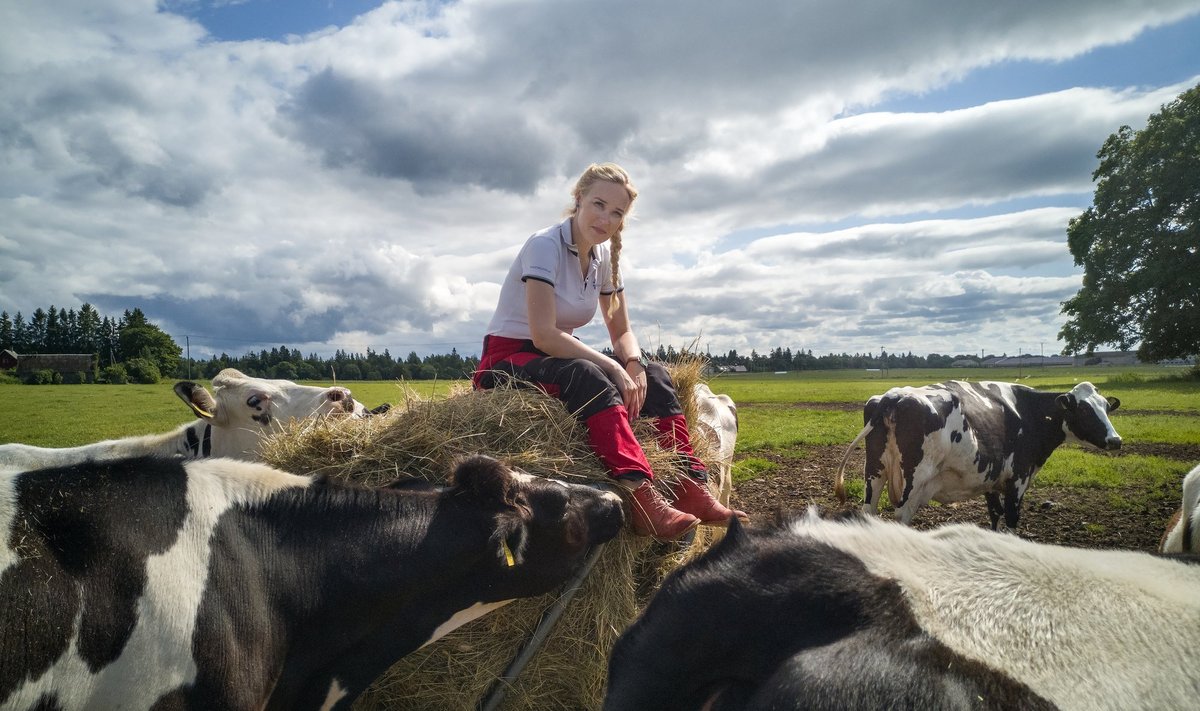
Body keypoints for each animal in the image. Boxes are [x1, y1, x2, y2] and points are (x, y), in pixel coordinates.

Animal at [835, 384, 1123, 528]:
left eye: (1106, 407)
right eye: (1083, 410)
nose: (1115, 440)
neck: (1027, 411)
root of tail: (893, 395)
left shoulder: (991, 479)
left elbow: (995, 514)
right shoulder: (1018, 478)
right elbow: (1011, 518)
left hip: (874, 472)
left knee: (869, 511)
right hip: (913, 482)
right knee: (901, 517)